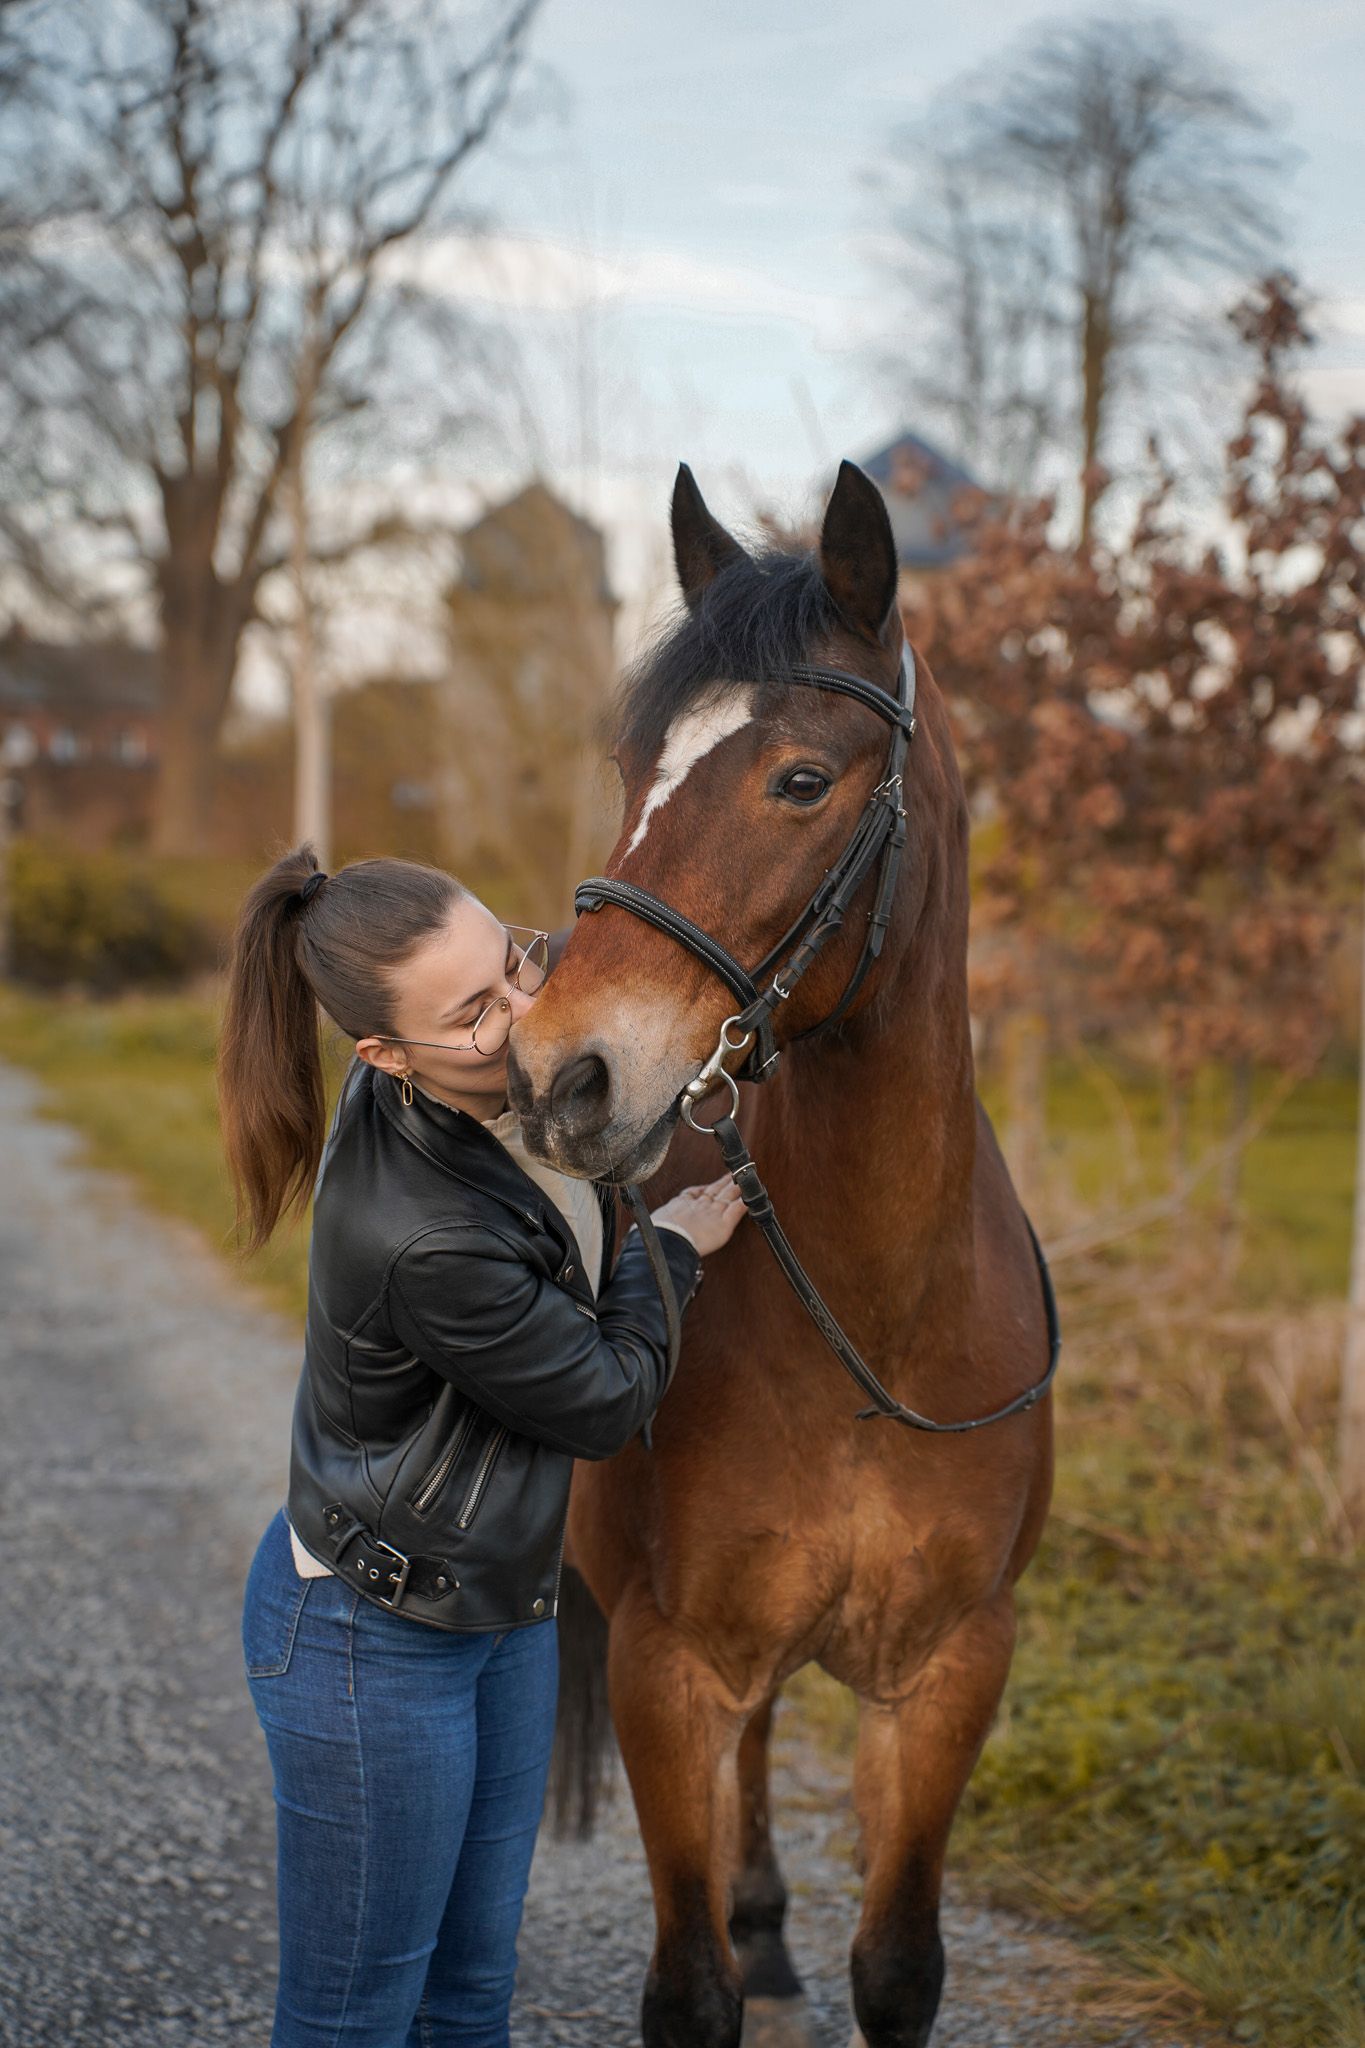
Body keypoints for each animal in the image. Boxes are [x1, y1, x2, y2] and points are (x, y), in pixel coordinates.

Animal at [506, 458, 1056, 2048]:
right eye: (635, 769)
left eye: (801, 781)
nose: (561, 1073)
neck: (878, 1321)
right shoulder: (666, 1665)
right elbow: (687, 1990)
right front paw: (730, 1949)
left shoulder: (947, 1672)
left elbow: (901, 1967)